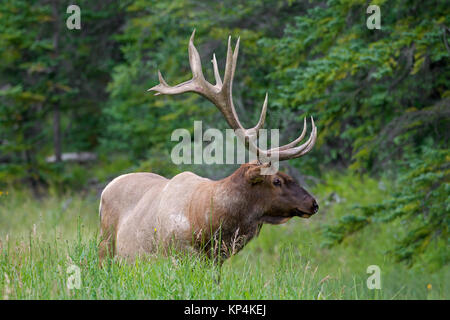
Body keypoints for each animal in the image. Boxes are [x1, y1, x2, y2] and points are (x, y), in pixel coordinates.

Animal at [99, 30, 316, 264]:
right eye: (276, 180)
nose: (313, 203)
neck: (209, 224)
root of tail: (107, 187)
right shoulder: (176, 255)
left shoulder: (215, 262)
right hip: (105, 245)